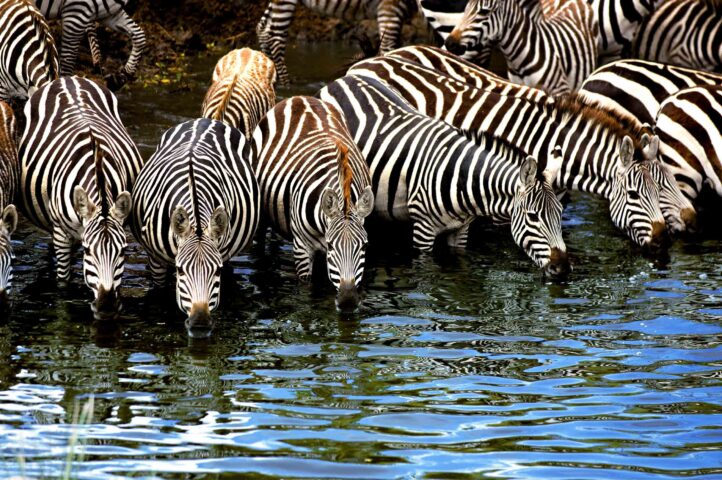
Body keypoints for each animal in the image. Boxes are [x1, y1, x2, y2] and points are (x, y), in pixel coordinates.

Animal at [19, 76, 142, 315]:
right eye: (88, 250)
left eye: (123, 251)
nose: (106, 306)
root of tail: (69, 79)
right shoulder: (61, 233)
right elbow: (63, 284)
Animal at [130, 119, 260, 338]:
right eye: (180, 270)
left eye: (217, 271)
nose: (200, 324)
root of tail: (205, 120)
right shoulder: (155, 258)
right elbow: (160, 294)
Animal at [252, 96, 374, 311]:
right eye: (331, 245)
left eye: (365, 246)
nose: (348, 302)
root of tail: (300, 98)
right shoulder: (302, 247)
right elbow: (307, 289)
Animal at [318, 74, 570, 277]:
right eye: (533, 216)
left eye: (560, 213)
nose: (563, 269)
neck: (463, 183)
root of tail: (341, 79)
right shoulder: (423, 230)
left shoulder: (461, 230)